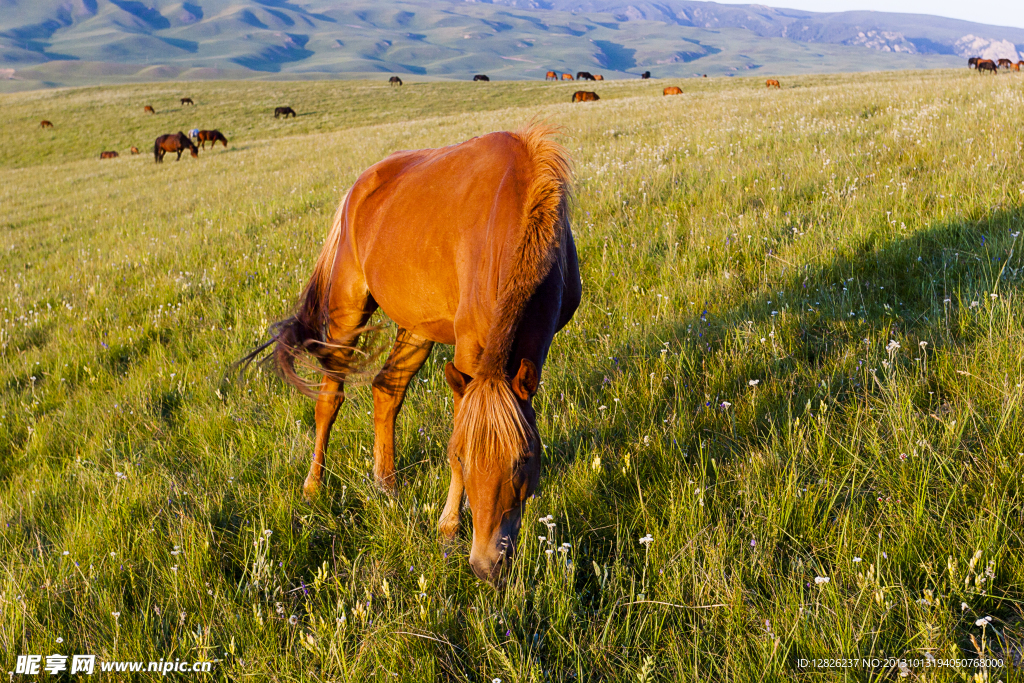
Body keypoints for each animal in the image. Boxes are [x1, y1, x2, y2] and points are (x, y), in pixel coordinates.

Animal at [248, 125, 581, 585]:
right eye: (462, 458)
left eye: (524, 459)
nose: (486, 566)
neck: (518, 208)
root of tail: (358, 188)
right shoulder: (469, 350)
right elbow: (459, 426)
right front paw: (448, 528)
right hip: (347, 309)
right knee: (329, 399)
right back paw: (313, 486)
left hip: (417, 327)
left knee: (386, 390)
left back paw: (385, 483)